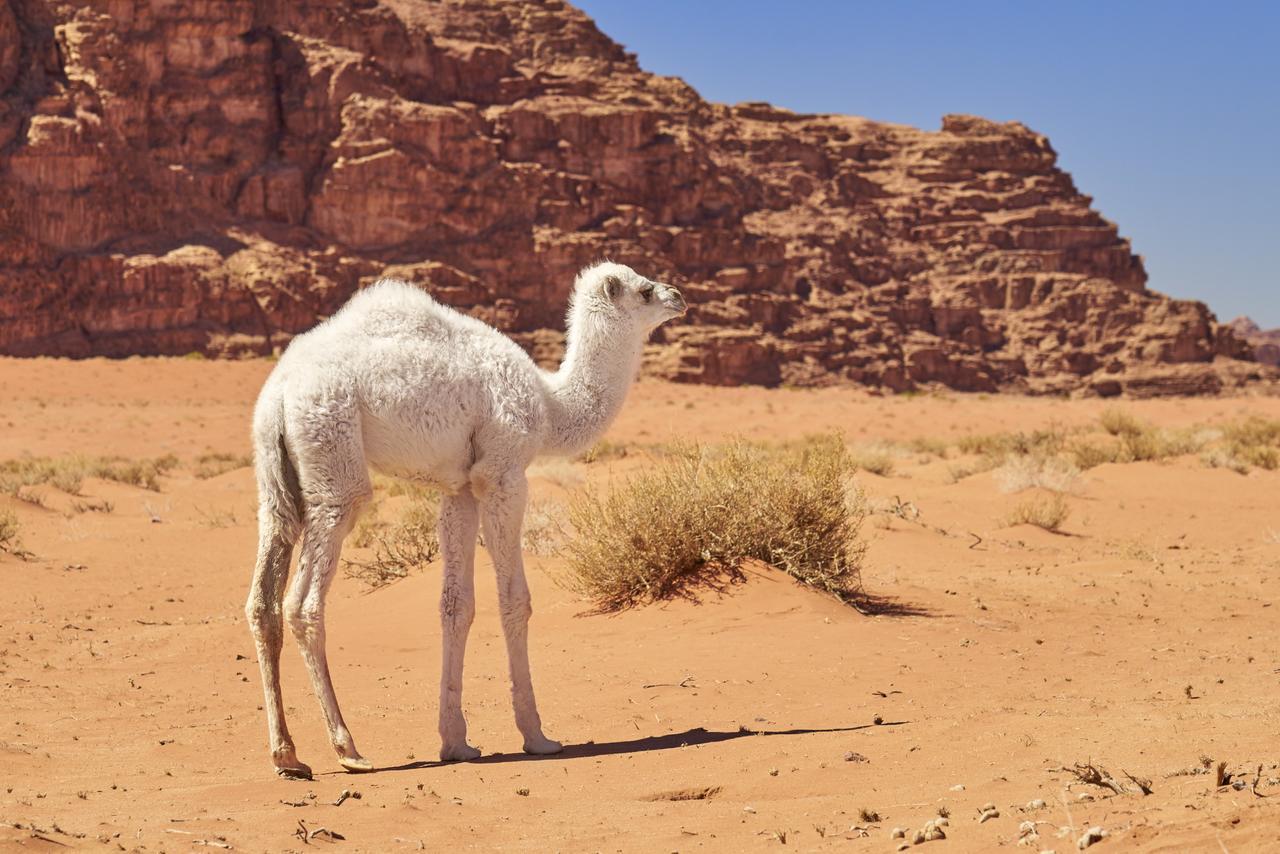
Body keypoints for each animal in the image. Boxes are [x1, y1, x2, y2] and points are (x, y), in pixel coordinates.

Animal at [240, 263, 680, 778]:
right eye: (644, 290)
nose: (677, 296)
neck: (550, 407)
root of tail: (281, 391)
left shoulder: (460, 488)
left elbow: (456, 605)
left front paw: (456, 742)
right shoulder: (502, 473)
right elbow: (515, 601)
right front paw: (537, 736)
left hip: (275, 474)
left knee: (264, 598)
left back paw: (287, 755)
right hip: (333, 455)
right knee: (304, 600)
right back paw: (347, 748)